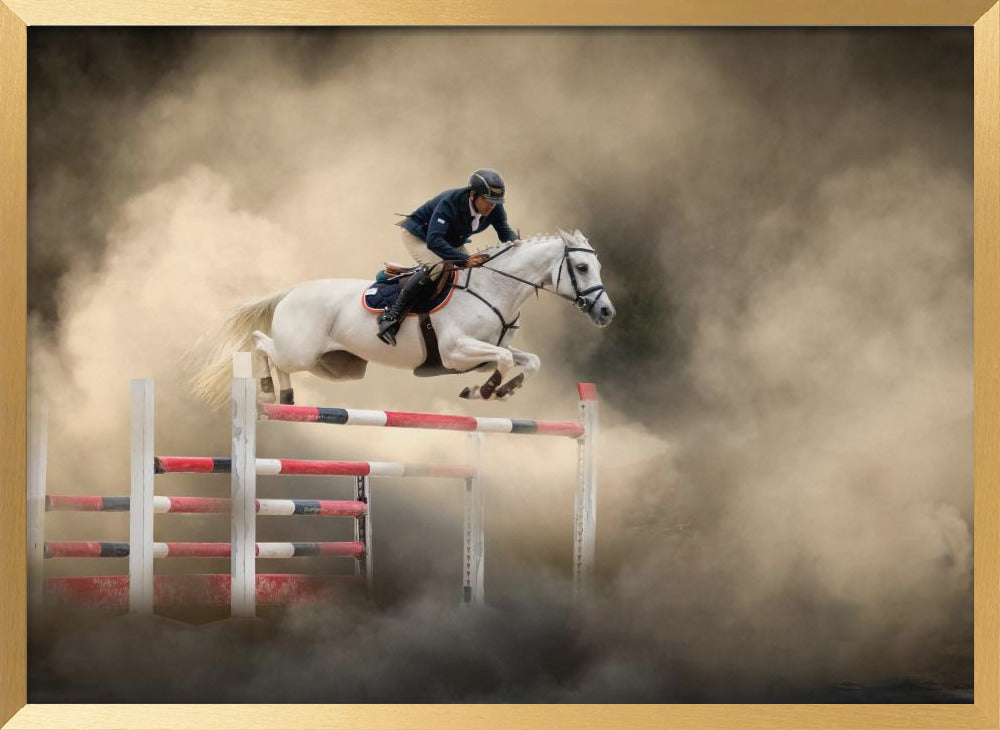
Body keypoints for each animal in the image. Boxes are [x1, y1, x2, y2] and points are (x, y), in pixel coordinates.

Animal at [190, 229, 615, 407]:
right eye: (581, 267)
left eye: (595, 265)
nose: (606, 311)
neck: (495, 288)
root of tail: (292, 291)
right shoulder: (456, 352)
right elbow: (505, 359)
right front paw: (487, 390)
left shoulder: (476, 357)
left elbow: (527, 360)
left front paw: (501, 389)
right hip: (300, 350)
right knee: (262, 344)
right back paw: (265, 389)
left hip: (332, 366)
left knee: (276, 357)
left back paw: (286, 396)